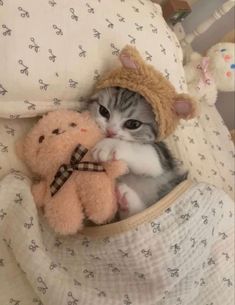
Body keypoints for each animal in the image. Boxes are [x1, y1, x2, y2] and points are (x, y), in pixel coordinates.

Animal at [86, 86, 187, 218]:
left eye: (133, 124)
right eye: (103, 111)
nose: (110, 132)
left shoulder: (162, 159)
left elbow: (145, 155)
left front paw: (109, 145)